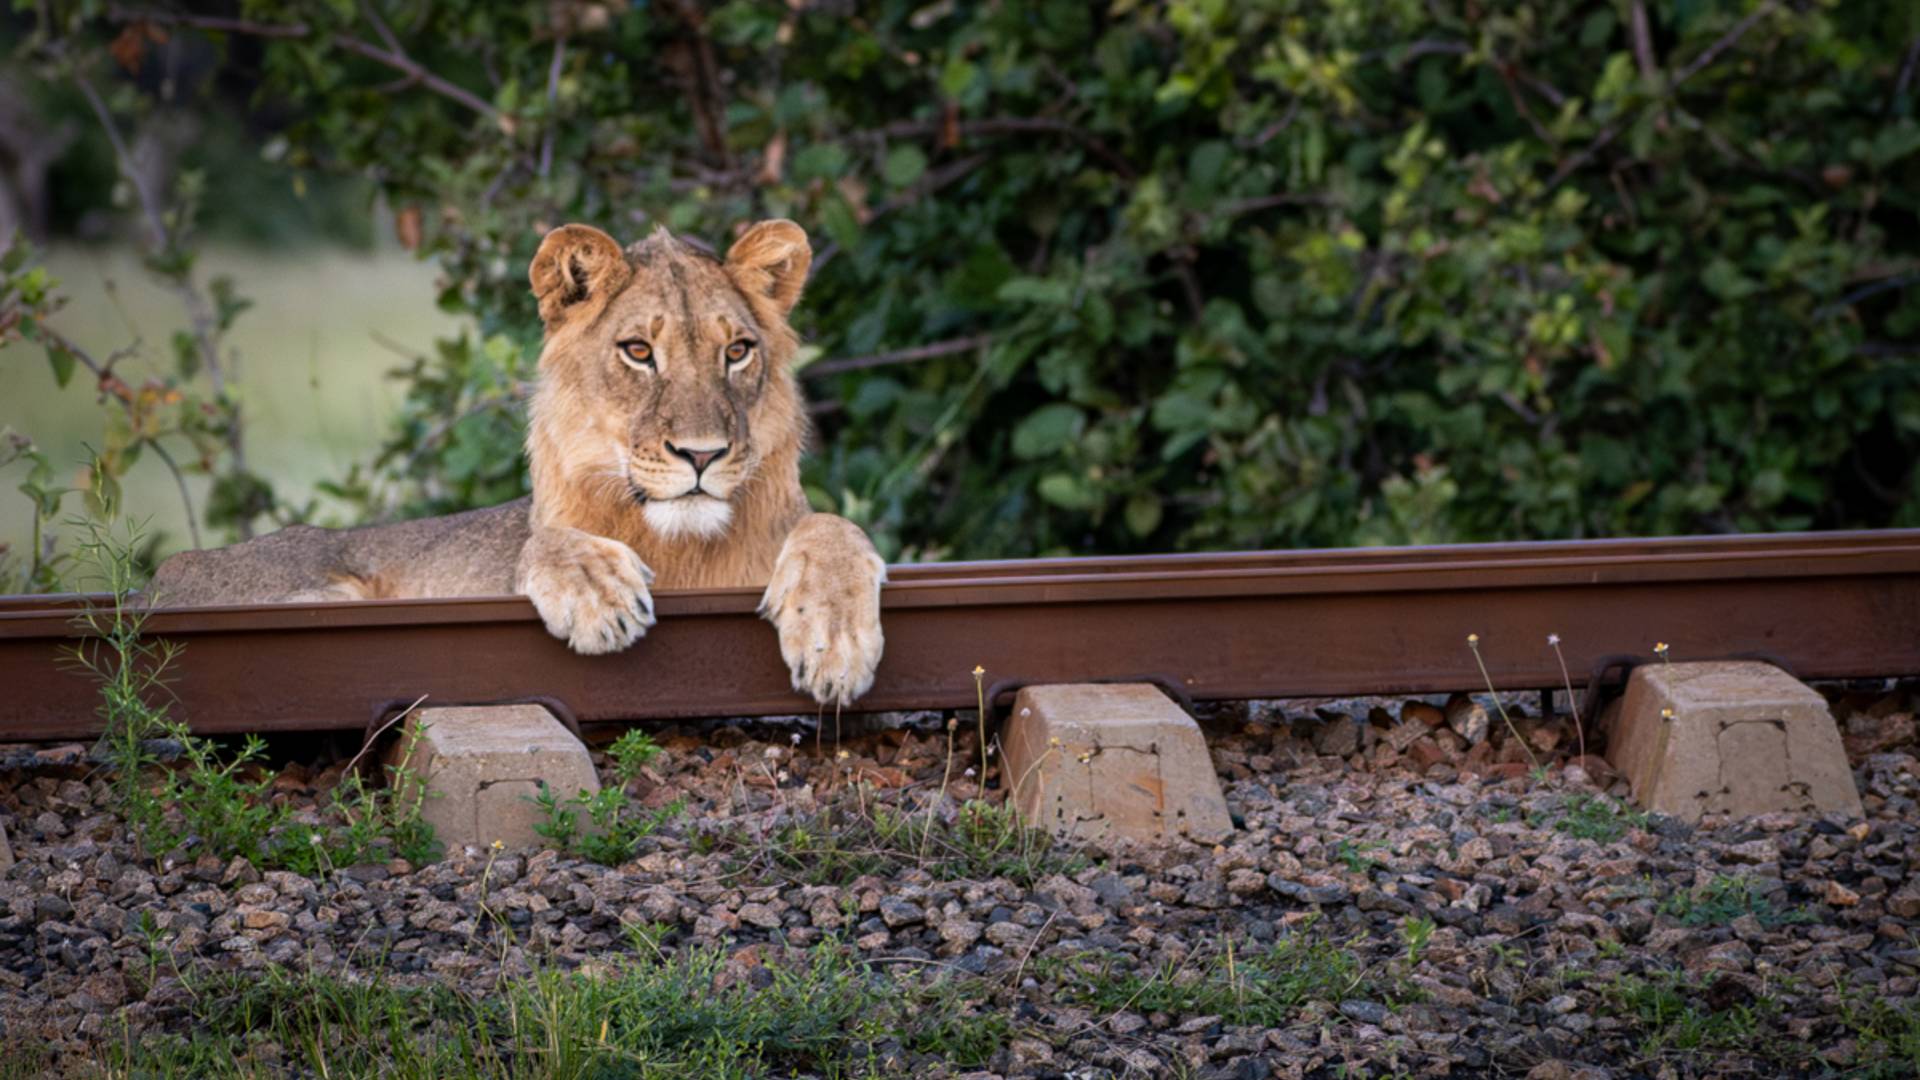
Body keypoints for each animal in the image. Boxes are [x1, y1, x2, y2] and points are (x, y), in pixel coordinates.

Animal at [148, 219, 886, 706]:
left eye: (736, 351)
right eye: (638, 352)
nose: (701, 454)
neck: (681, 546)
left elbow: (835, 527)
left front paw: (833, 641)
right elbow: (544, 542)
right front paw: (598, 592)